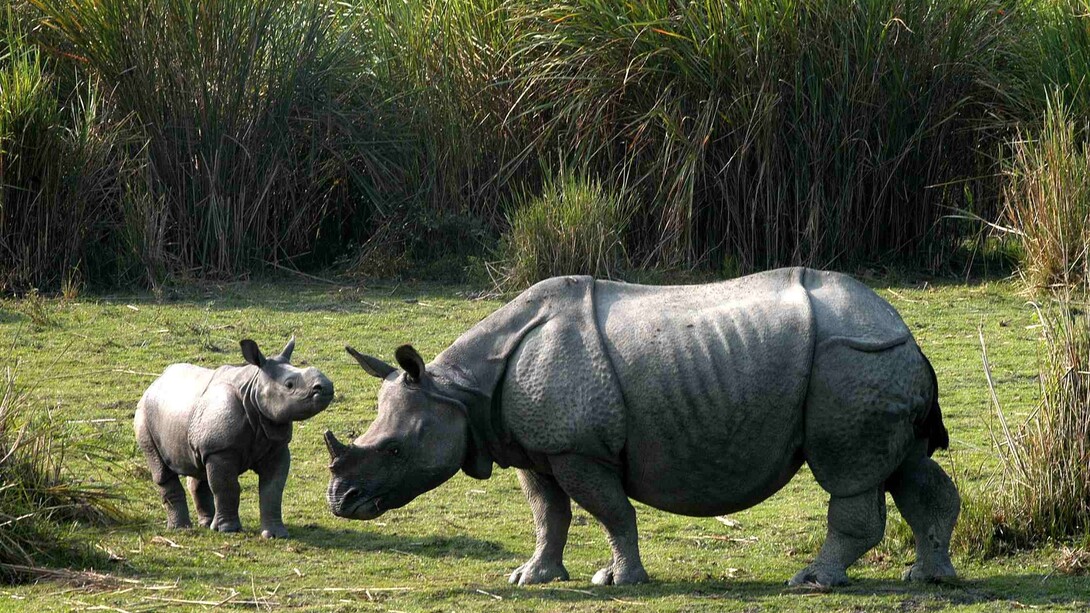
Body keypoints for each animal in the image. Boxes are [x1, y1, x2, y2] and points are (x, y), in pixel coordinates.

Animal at [135, 337, 333, 538]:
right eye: (289, 385)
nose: (327, 387)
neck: (253, 388)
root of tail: (154, 383)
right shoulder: (220, 449)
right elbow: (227, 487)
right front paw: (229, 530)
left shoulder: (276, 446)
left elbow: (273, 490)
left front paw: (276, 534)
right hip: (144, 415)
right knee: (161, 470)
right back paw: (181, 528)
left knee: (199, 469)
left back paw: (206, 524)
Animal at [325, 268, 959, 587]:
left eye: (396, 450)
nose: (341, 501)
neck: (459, 391)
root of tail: (905, 329)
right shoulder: (535, 447)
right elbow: (547, 514)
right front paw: (532, 577)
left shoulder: (579, 449)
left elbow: (611, 512)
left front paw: (618, 580)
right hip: (875, 361)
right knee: (910, 468)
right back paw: (929, 579)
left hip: (852, 360)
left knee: (850, 474)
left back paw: (811, 582)